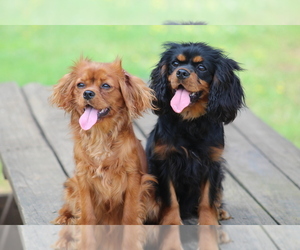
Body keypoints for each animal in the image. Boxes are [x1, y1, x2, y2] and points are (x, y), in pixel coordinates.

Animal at [50, 58, 155, 225]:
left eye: (105, 85)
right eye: (80, 85)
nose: (87, 93)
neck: (99, 135)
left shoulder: (133, 177)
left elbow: (130, 211)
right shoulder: (83, 176)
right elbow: (86, 209)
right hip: (71, 184)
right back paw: (65, 217)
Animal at [146, 42, 245, 225]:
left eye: (201, 67)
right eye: (175, 64)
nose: (181, 72)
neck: (190, 122)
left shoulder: (212, 162)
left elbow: (208, 197)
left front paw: (209, 223)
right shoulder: (164, 161)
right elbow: (170, 197)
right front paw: (172, 222)